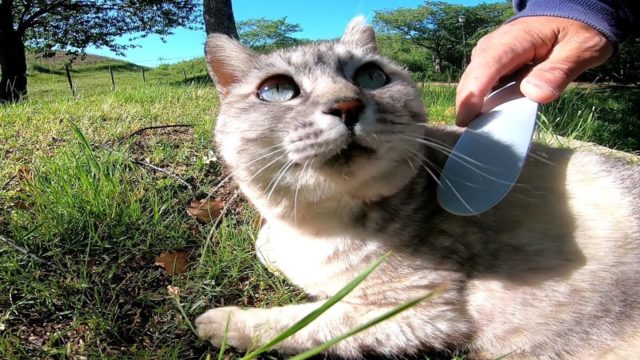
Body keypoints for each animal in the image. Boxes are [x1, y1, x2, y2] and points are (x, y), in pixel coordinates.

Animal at [195, 17, 640, 360]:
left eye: (371, 75)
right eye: (277, 90)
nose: (346, 105)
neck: (314, 227)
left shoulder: (420, 308)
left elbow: (311, 320)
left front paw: (224, 322)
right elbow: (267, 246)